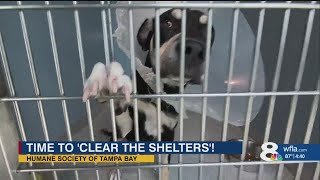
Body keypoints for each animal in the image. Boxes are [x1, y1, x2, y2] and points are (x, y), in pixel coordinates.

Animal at [83, 8, 215, 180]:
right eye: (168, 23)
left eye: (207, 32)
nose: (194, 49)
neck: (159, 92)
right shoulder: (125, 122)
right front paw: (107, 89)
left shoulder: (168, 134)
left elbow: (165, 166)